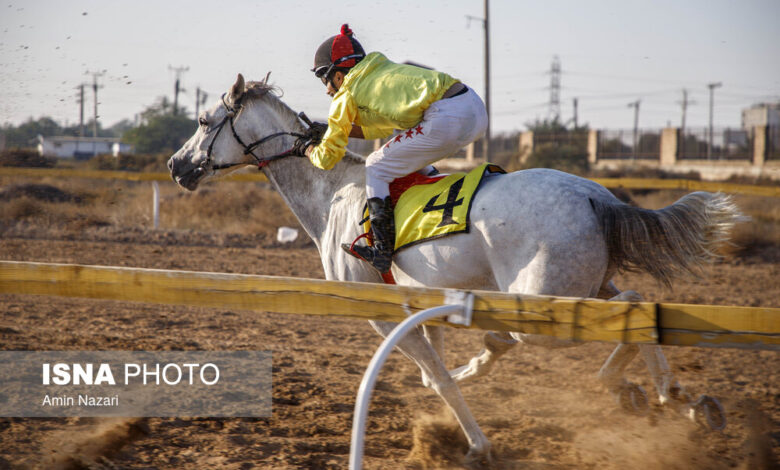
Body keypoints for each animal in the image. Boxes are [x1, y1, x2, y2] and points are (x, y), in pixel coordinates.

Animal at [168, 74, 740, 462]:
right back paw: (672, 395)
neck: (332, 195)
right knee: (635, 306)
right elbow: (446, 368)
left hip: (547, 302)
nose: (176, 165)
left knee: (626, 310)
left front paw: (477, 443)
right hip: (586, 281)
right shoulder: (427, 300)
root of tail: (595, 195)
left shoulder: (379, 311)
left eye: (202, 122)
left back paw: (640, 388)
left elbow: (441, 377)